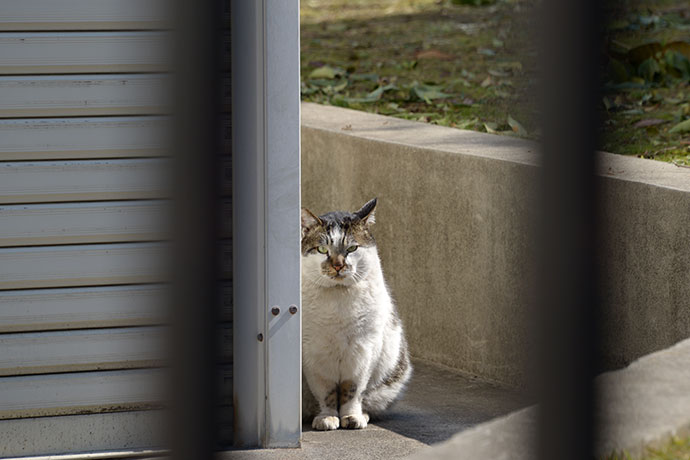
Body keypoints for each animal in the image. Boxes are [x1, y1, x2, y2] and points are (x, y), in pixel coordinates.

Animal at [300, 199, 408, 432]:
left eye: (352, 248)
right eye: (322, 249)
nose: (338, 265)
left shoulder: (362, 350)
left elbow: (353, 390)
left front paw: (352, 417)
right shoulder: (314, 354)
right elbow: (326, 392)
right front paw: (327, 418)